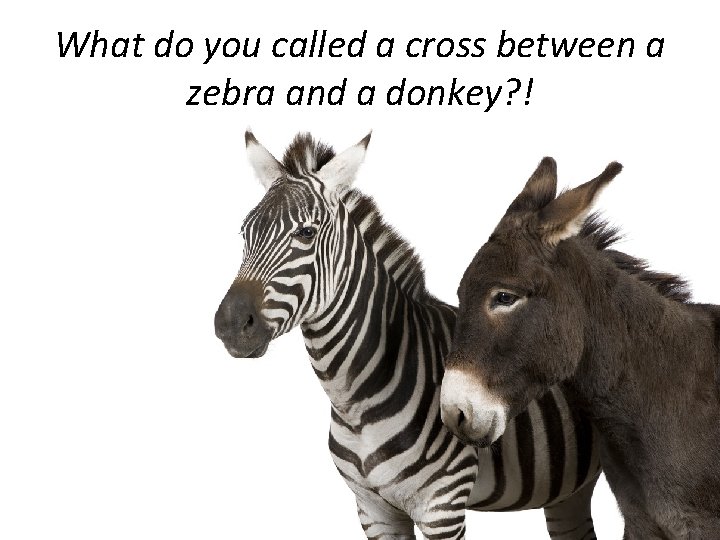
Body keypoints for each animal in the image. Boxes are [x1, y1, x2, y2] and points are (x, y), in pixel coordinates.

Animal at [214, 131, 601, 539]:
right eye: (244, 232)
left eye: (306, 233)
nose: (229, 324)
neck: (353, 403)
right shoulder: (373, 511)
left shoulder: (442, 507)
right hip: (569, 491)